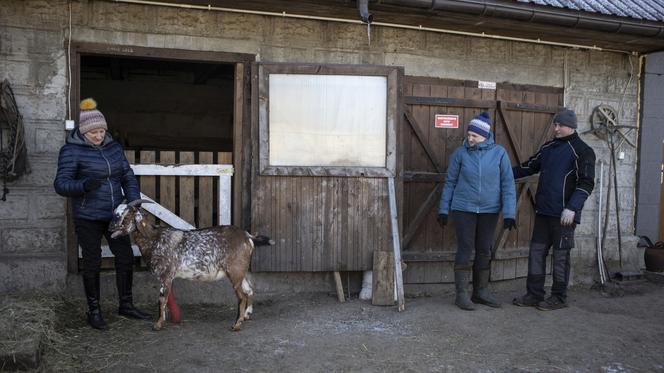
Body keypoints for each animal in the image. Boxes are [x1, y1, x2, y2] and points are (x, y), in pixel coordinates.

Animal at [108, 199, 272, 330]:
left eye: (126, 216)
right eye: (115, 213)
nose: (110, 228)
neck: (154, 239)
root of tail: (247, 236)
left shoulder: (165, 275)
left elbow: (162, 299)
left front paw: (158, 324)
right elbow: (165, 299)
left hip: (235, 271)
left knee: (242, 296)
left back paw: (237, 324)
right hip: (241, 272)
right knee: (249, 290)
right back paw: (246, 316)